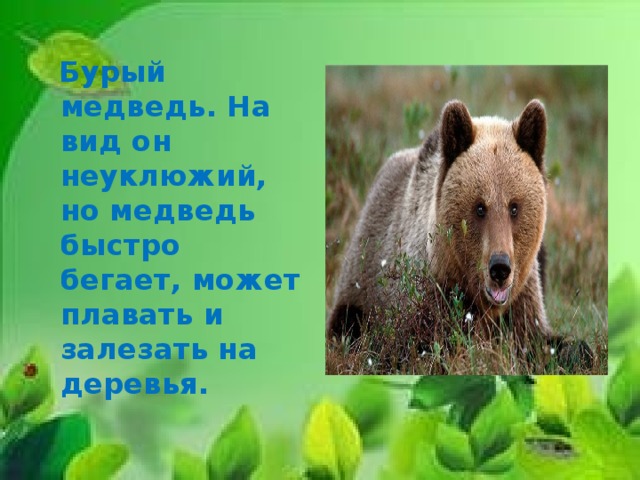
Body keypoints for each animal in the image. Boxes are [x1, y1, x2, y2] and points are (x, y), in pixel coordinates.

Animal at [328, 99, 558, 364]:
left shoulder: (523, 300)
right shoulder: (426, 298)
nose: (500, 268)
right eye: (480, 207)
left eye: (514, 207)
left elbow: (540, 340)